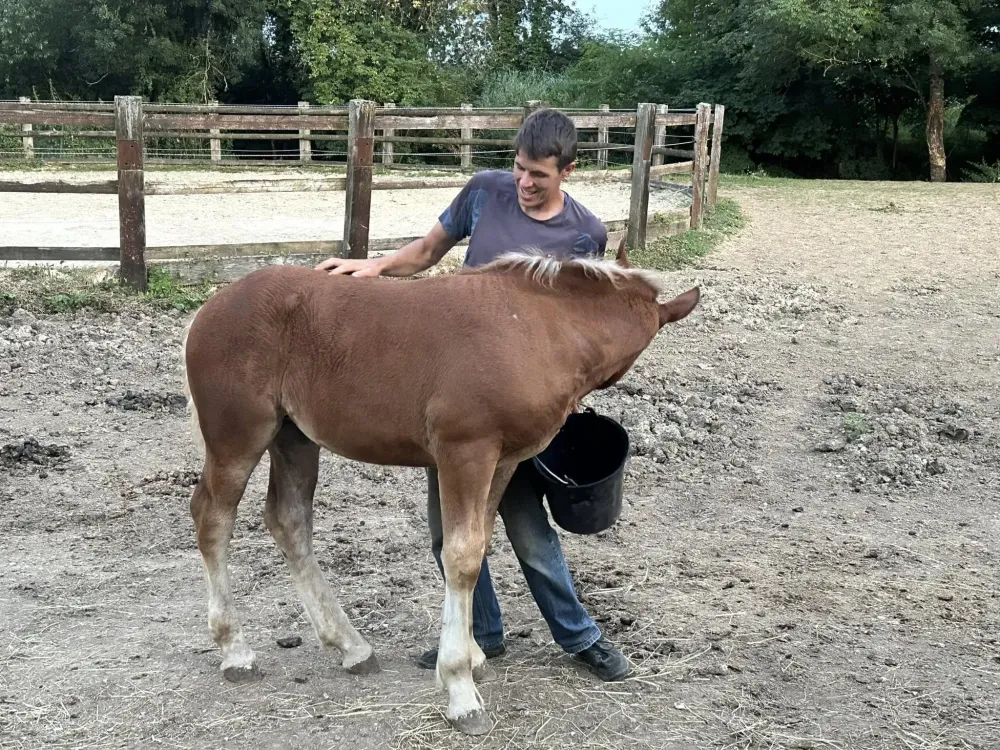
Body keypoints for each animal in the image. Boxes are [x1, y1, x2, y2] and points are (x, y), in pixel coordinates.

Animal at [180, 239, 700, 735]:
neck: (538, 327)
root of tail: (207, 310)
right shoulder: (465, 452)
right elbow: (462, 558)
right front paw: (460, 690)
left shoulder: (503, 460)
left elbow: (480, 545)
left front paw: (474, 656)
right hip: (238, 438)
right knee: (212, 519)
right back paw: (235, 652)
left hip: (295, 439)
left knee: (289, 521)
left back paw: (351, 646)